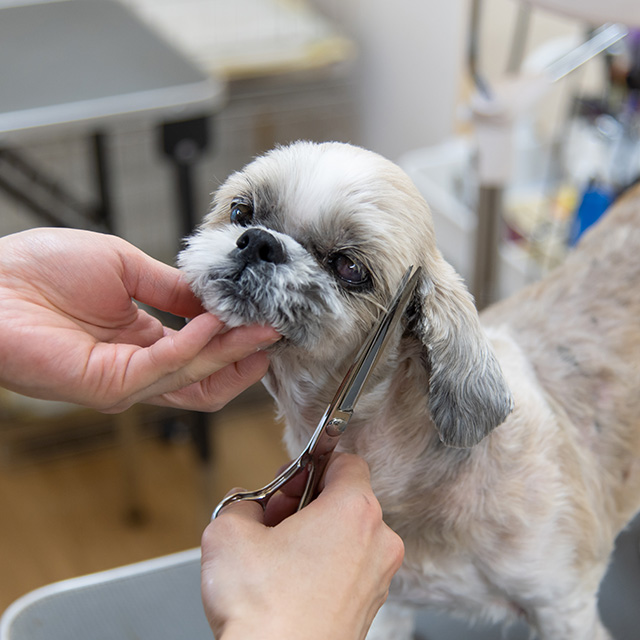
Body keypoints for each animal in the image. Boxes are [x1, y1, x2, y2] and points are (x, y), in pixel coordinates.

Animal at [178, 141, 640, 640]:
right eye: (240, 211)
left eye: (350, 267)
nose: (259, 241)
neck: (410, 471)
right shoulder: (387, 603)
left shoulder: (563, 606)